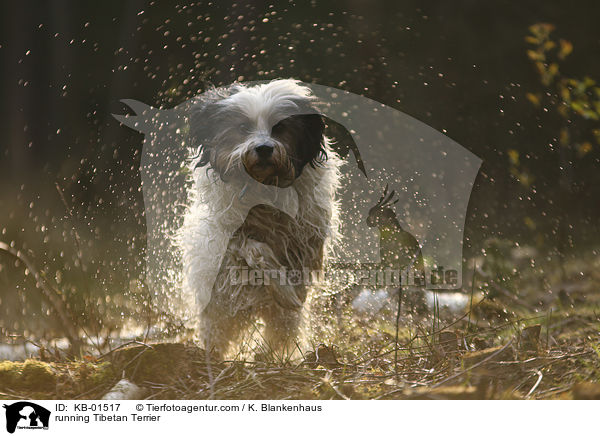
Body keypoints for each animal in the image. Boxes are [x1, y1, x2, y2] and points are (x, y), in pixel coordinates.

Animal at [179, 79, 342, 358]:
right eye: (243, 128)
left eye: (280, 127)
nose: (264, 148)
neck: (264, 188)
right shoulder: (228, 235)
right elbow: (256, 250)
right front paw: (283, 289)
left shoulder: (308, 234)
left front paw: (290, 293)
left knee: (280, 330)